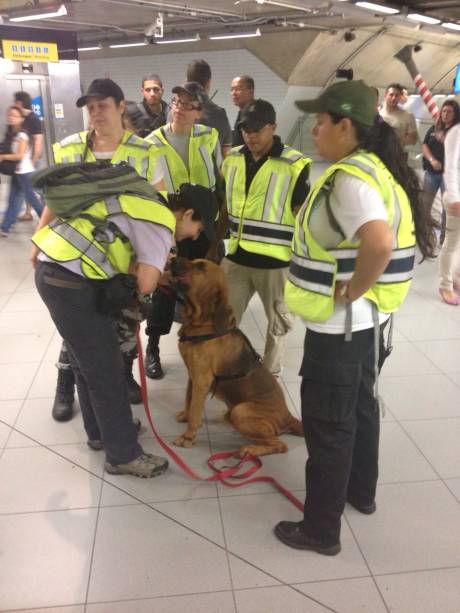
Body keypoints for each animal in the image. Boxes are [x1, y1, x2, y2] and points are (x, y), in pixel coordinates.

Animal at [169, 256, 302, 456]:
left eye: (200, 266)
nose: (173, 257)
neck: (202, 323)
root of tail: (288, 417)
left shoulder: (202, 380)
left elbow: (195, 411)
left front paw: (188, 437)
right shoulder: (192, 376)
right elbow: (189, 401)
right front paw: (185, 416)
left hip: (241, 410)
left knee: (279, 445)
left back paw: (250, 449)